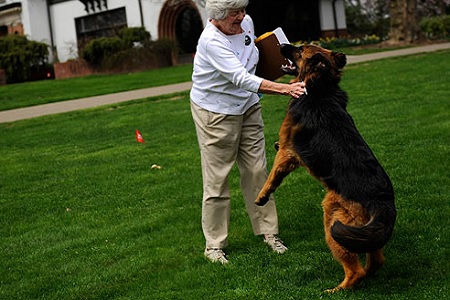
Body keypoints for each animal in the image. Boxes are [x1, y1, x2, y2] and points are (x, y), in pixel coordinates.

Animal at [255, 43, 396, 292]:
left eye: (300, 50)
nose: (282, 45)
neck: (320, 87)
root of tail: (382, 200)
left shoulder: (286, 151)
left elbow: (273, 176)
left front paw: (262, 196)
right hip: (361, 234)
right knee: (376, 260)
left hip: (332, 220)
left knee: (355, 270)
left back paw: (337, 290)